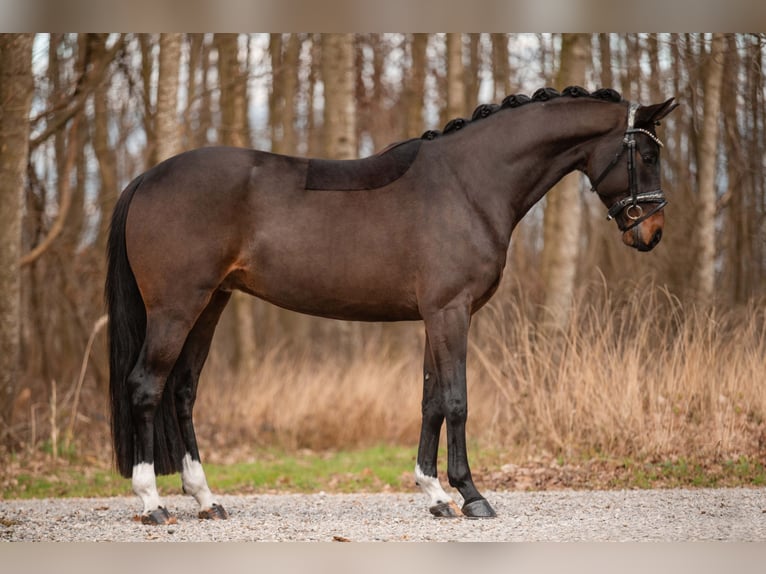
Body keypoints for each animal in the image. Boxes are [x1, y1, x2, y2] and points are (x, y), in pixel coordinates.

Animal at [106, 86, 680, 528]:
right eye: (649, 156)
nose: (652, 232)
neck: (468, 185)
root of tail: (147, 178)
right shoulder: (451, 312)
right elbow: (457, 400)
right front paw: (472, 495)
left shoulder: (436, 316)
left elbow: (430, 401)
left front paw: (435, 494)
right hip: (177, 308)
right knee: (147, 387)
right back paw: (152, 502)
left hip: (211, 304)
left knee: (182, 390)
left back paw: (206, 499)